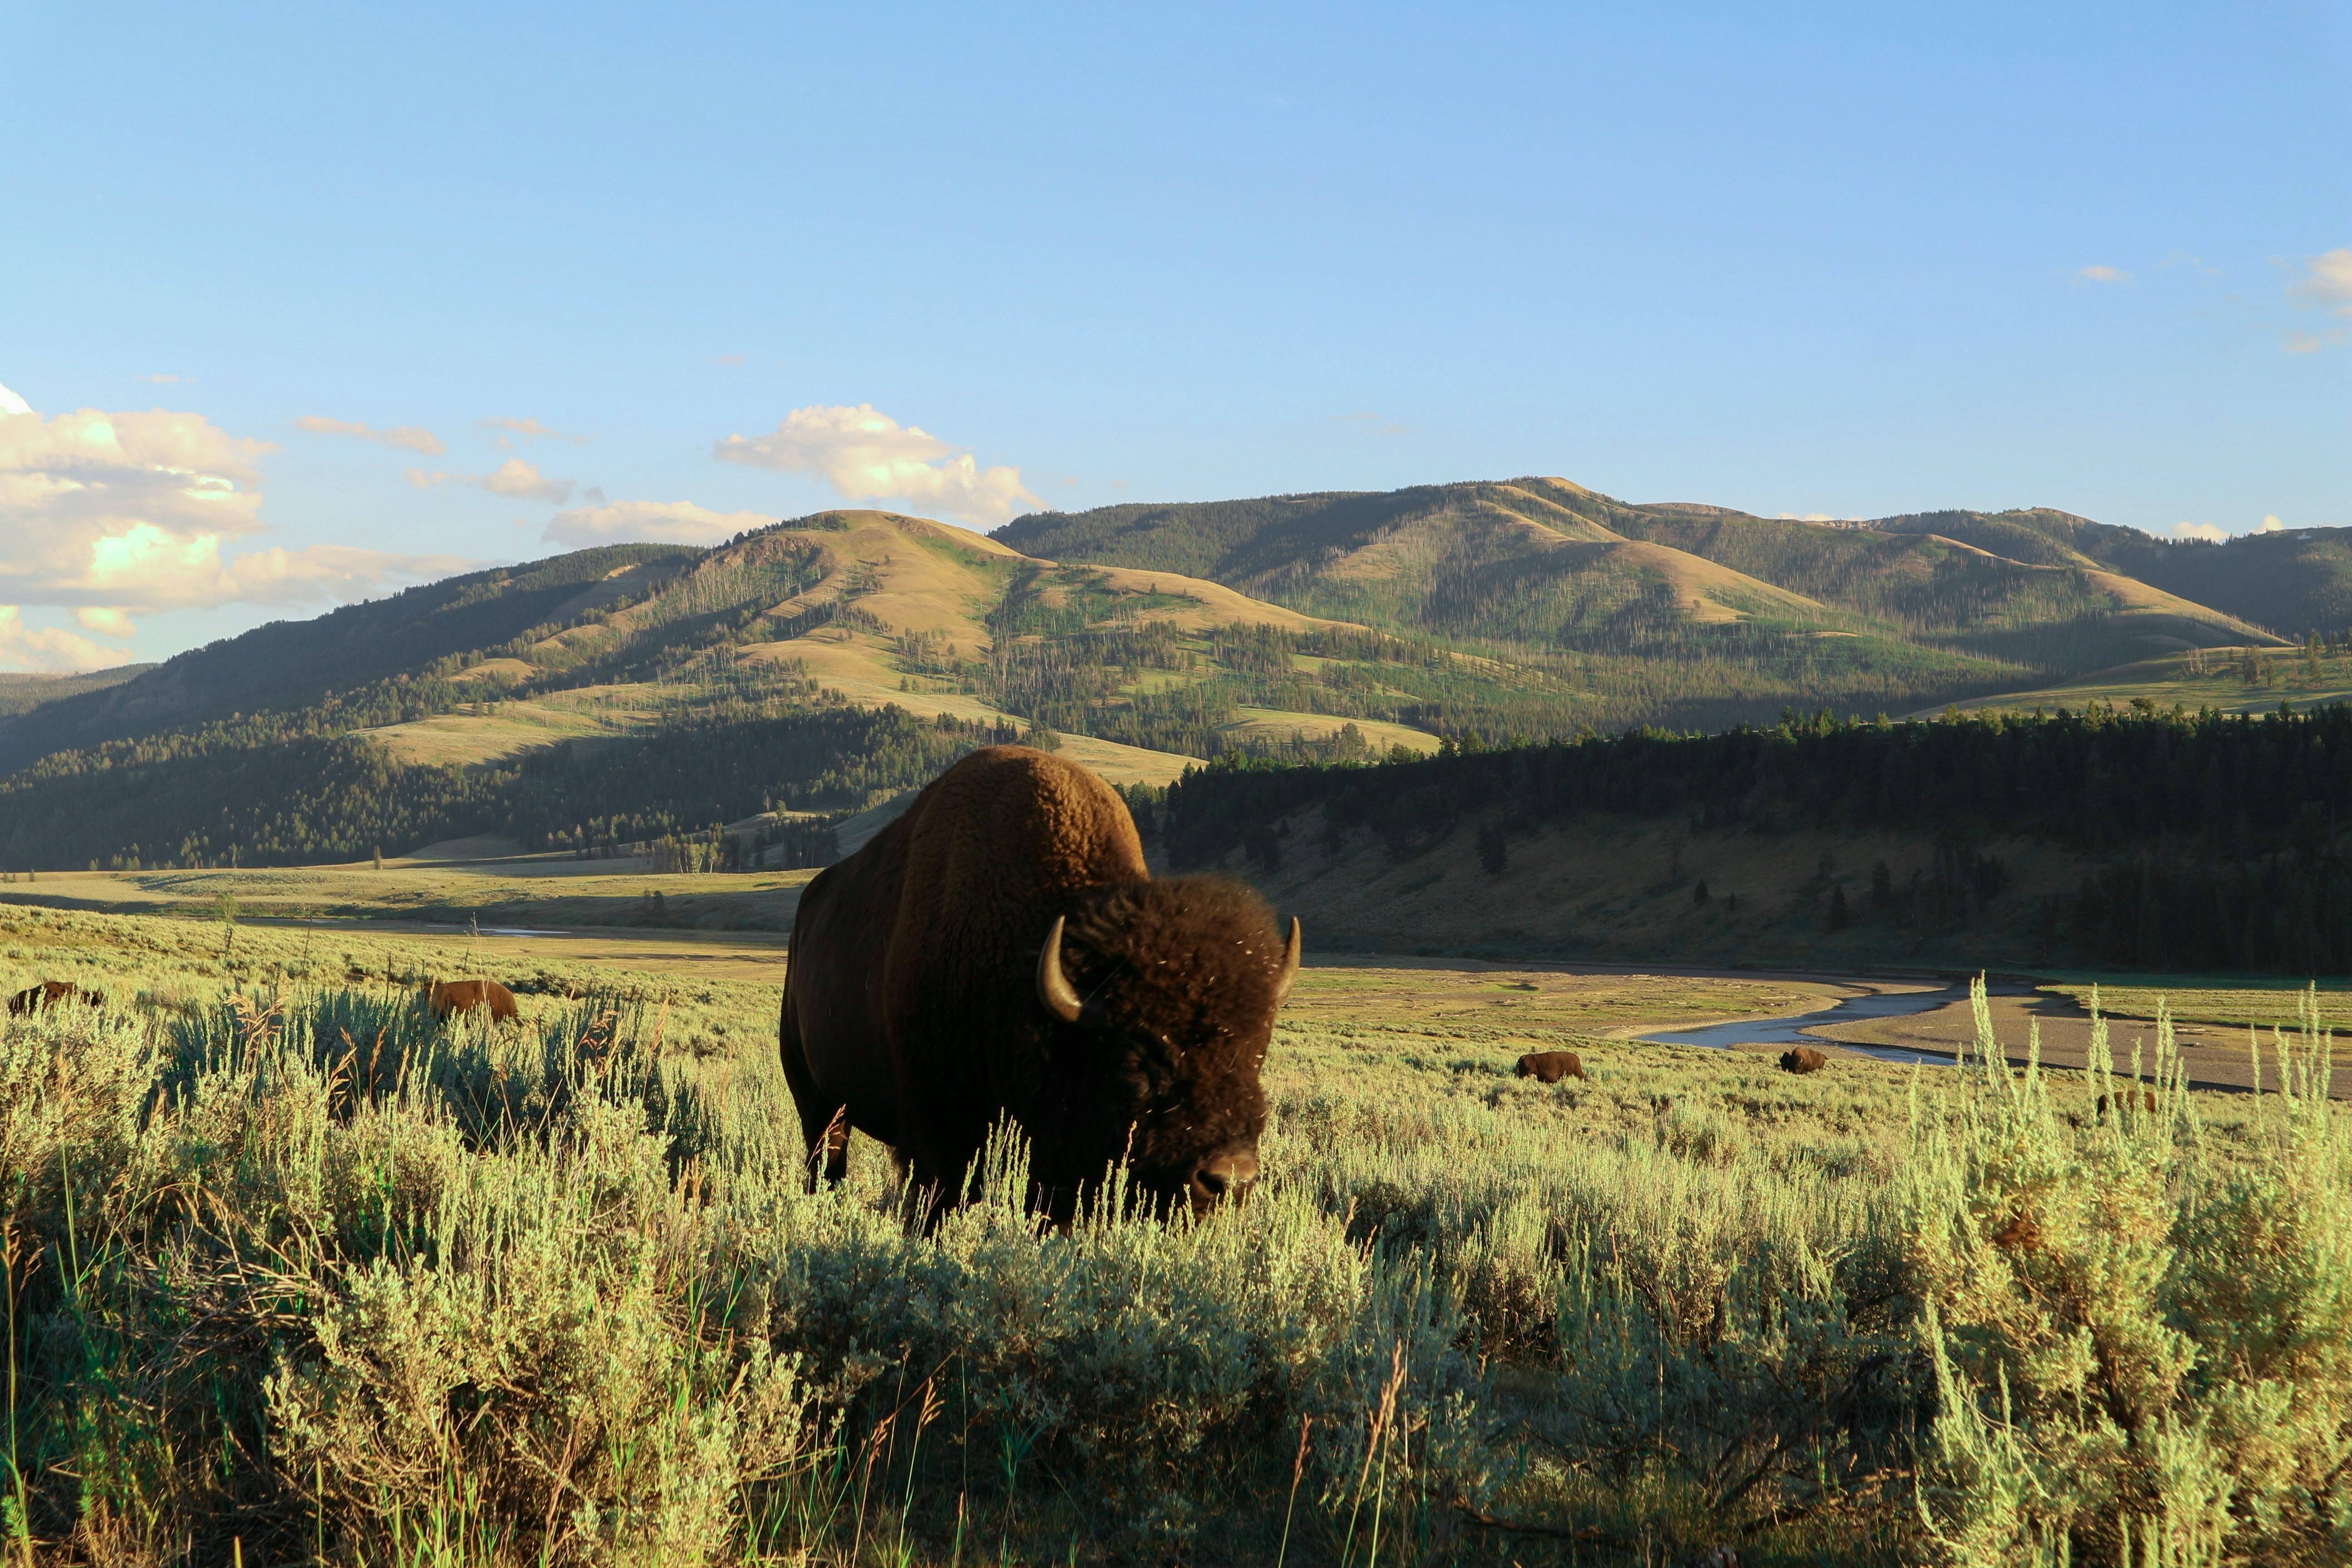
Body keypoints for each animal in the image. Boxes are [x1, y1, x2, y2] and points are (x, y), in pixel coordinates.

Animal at [780, 745, 1299, 1219]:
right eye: (1133, 1061)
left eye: (1258, 1051)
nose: (1230, 1179)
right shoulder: (936, 1137)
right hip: (818, 1102)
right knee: (825, 1159)